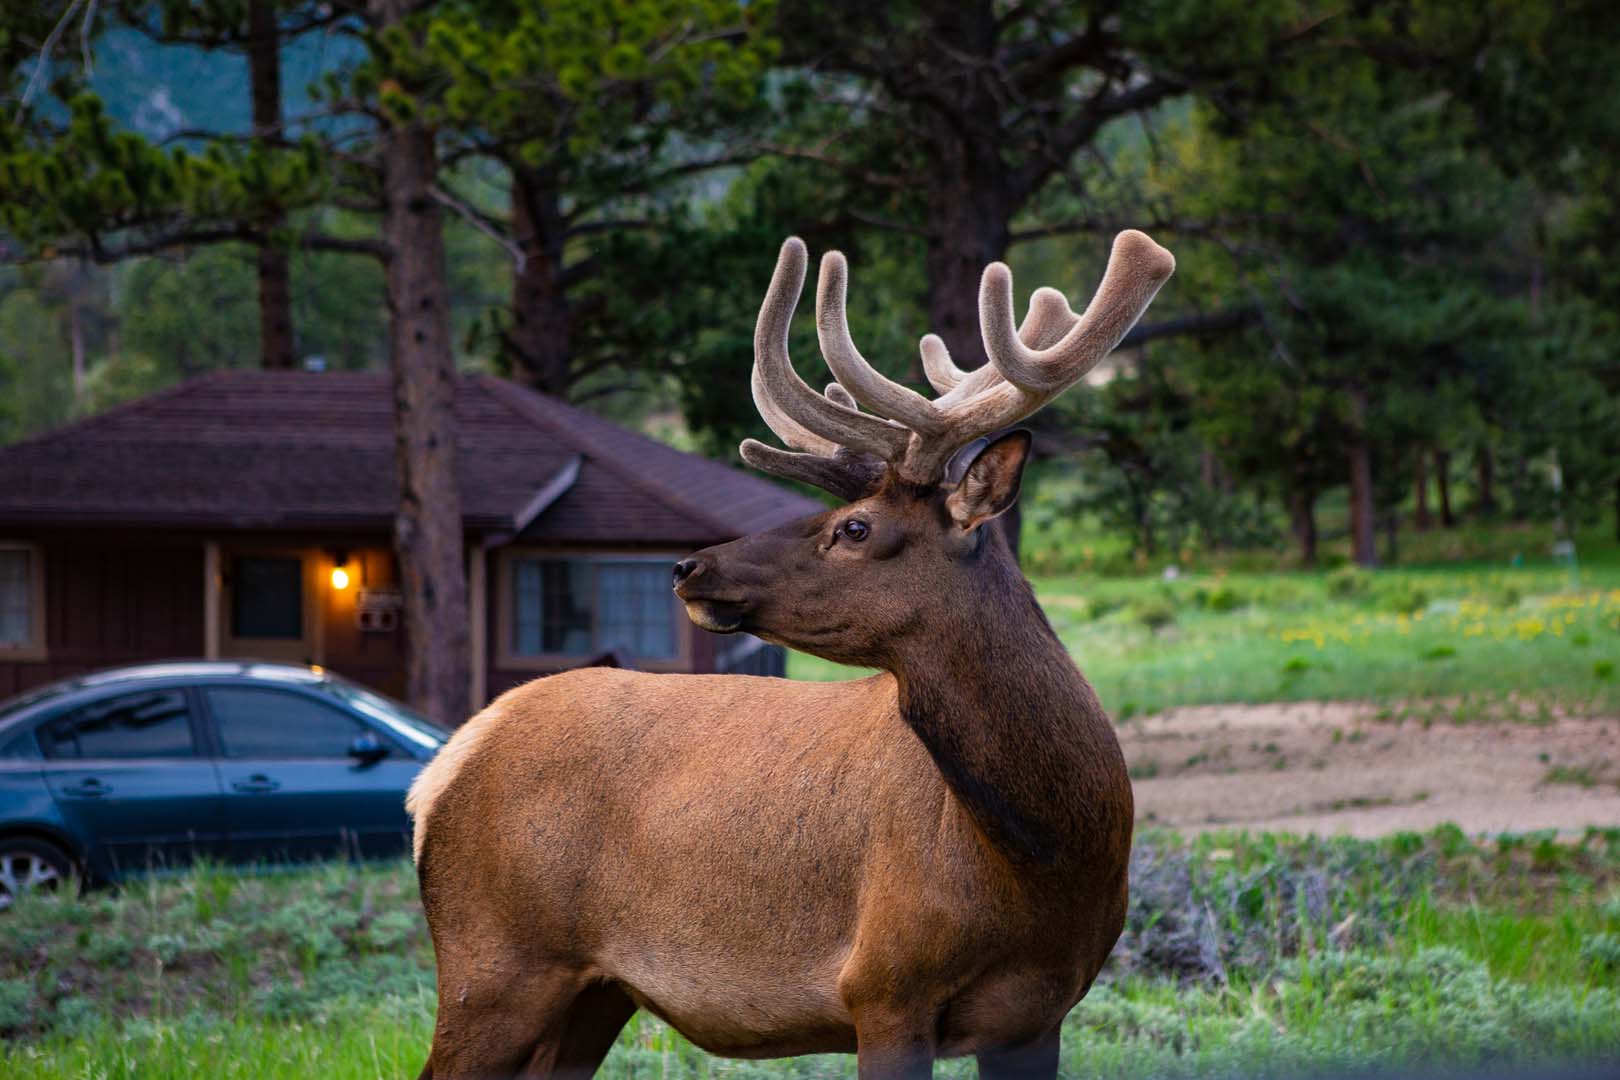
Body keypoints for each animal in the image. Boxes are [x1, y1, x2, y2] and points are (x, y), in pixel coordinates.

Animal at [411, 229, 1172, 1080]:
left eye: (855, 526)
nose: (690, 566)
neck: (1044, 863)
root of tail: (441, 767)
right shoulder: (883, 984)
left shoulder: (1041, 1013)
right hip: (492, 962)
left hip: (590, 991)